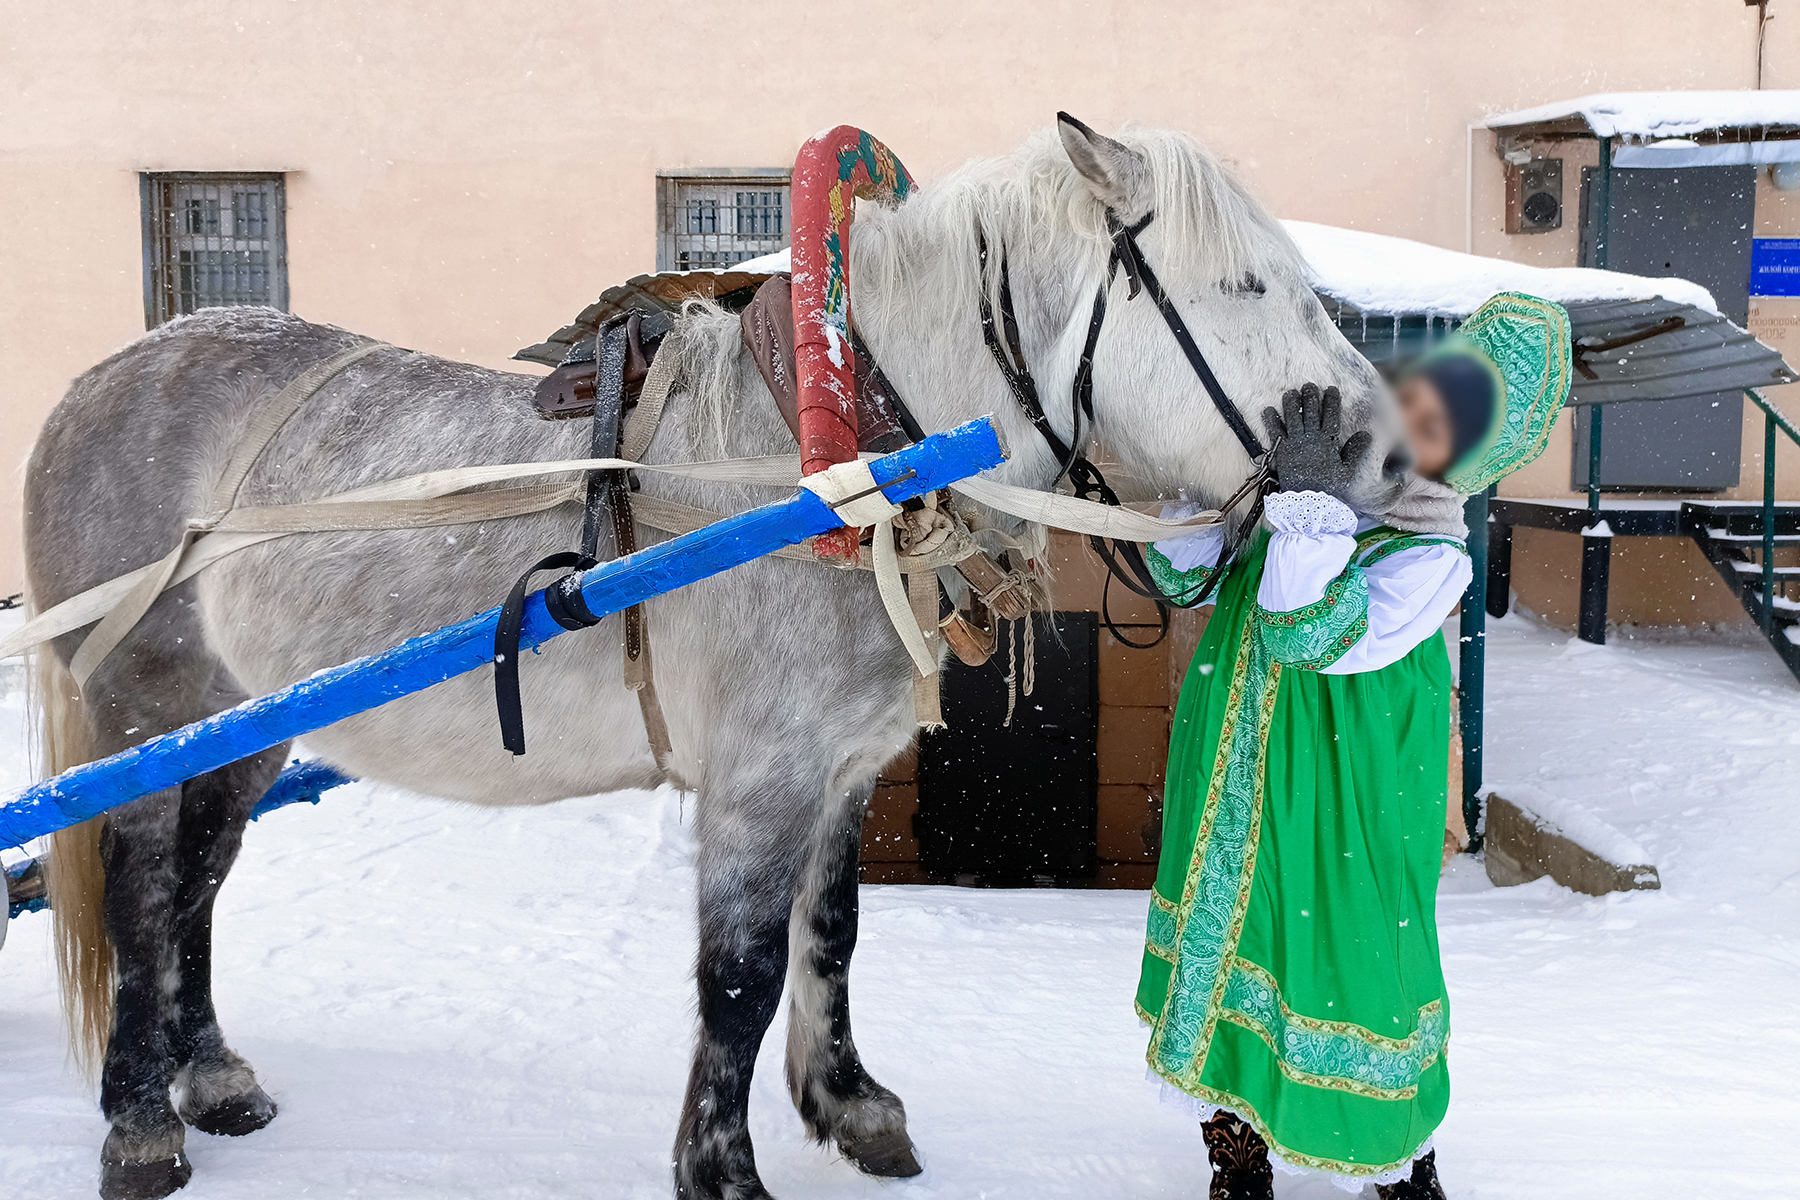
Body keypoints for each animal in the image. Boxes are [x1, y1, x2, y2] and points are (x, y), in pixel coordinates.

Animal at [31, 115, 1404, 1200]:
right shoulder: (761, 775)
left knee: (199, 879)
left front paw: (850, 1106)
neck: (839, 468)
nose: (1377, 451)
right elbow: (738, 976)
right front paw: (723, 1171)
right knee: (144, 891)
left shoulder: (841, 770)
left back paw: (211, 1079)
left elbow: (832, 934)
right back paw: (142, 1128)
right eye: (1242, 286)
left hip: (242, 726)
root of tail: (94, 385)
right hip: (148, 706)